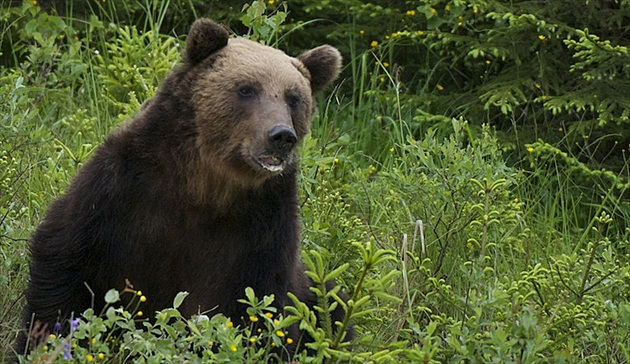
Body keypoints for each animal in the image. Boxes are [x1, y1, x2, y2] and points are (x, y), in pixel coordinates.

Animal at [14, 17, 348, 358]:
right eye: (246, 89)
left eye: (294, 97)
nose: (281, 135)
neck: (207, 184)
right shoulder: (123, 188)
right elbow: (65, 257)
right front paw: (43, 341)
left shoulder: (262, 221)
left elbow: (258, 303)